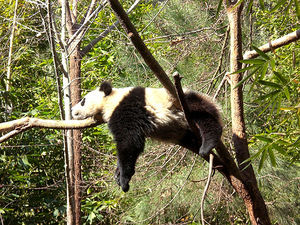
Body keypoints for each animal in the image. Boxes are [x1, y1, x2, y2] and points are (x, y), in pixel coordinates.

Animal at [72, 81, 223, 192]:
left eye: (83, 101)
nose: (73, 110)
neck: (111, 99)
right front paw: (117, 174)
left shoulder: (126, 107)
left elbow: (129, 142)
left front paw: (124, 179)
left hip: (181, 101)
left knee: (203, 114)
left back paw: (208, 144)